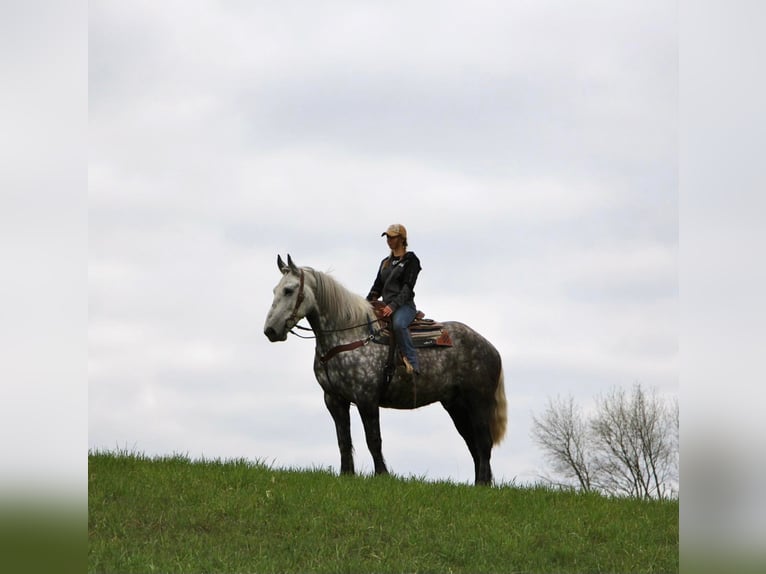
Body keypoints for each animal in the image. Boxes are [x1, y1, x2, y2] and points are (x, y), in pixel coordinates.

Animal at [266, 256, 510, 486]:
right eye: (275, 290)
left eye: (289, 290)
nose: (270, 330)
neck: (348, 337)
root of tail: (492, 349)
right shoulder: (334, 399)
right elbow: (343, 439)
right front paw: (346, 474)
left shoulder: (366, 398)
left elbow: (373, 439)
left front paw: (382, 475)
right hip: (456, 406)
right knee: (473, 444)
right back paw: (480, 483)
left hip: (478, 402)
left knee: (483, 442)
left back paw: (483, 484)